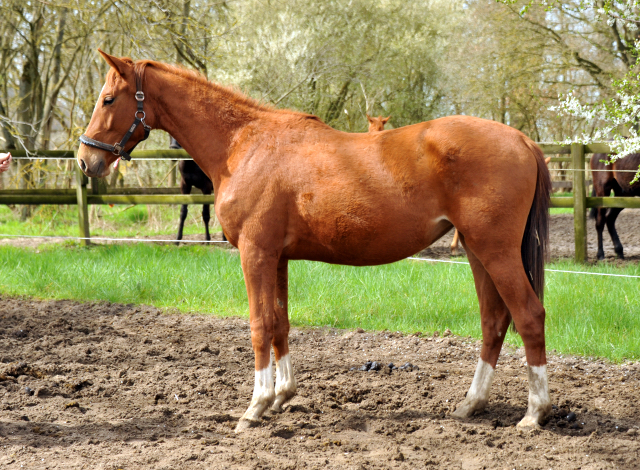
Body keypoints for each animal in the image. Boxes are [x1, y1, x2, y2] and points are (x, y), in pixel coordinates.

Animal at [79, 50, 552, 430]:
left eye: (108, 99)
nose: (85, 160)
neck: (243, 145)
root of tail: (522, 140)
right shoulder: (277, 257)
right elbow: (280, 324)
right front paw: (282, 396)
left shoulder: (255, 254)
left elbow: (259, 326)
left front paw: (255, 407)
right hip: (475, 250)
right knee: (494, 321)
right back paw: (471, 404)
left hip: (495, 251)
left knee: (528, 315)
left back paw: (534, 413)